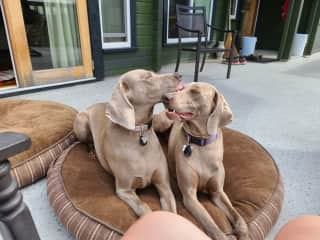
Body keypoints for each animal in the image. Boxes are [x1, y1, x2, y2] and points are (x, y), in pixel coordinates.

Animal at [73, 70, 182, 218]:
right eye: (147, 77)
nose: (179, 75)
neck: (139, 132)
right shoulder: (124, 189)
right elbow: (143, 206)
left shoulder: (164, 186)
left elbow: (172, 212)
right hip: (81, 123)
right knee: (86, 141)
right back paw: (91, 152)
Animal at [154, 81, 249, 239]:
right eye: (181, 88)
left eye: (195, 92)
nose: (165, 97)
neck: (201, 144)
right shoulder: (189, 196)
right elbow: (211, 224)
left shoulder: (218, 192)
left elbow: (238, 217)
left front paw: (243, 233)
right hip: (162, 122)